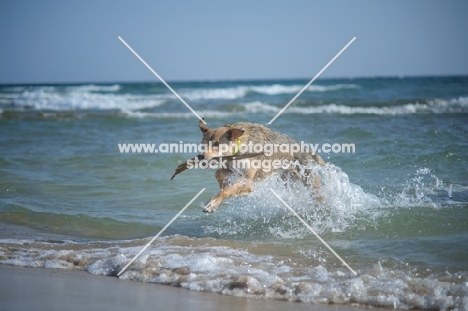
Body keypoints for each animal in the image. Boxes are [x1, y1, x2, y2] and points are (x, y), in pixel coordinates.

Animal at [172, 120, 326, 213]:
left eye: (217, 144)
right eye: (203, 144)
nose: (200, 157)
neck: (239, 147)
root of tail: (306, 149)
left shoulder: (248, 180)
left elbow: (227, 191)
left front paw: (213, 203)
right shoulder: (230, 168)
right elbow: (219, 174)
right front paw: (223, 185)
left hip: (310, 181)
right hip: (289, 180)